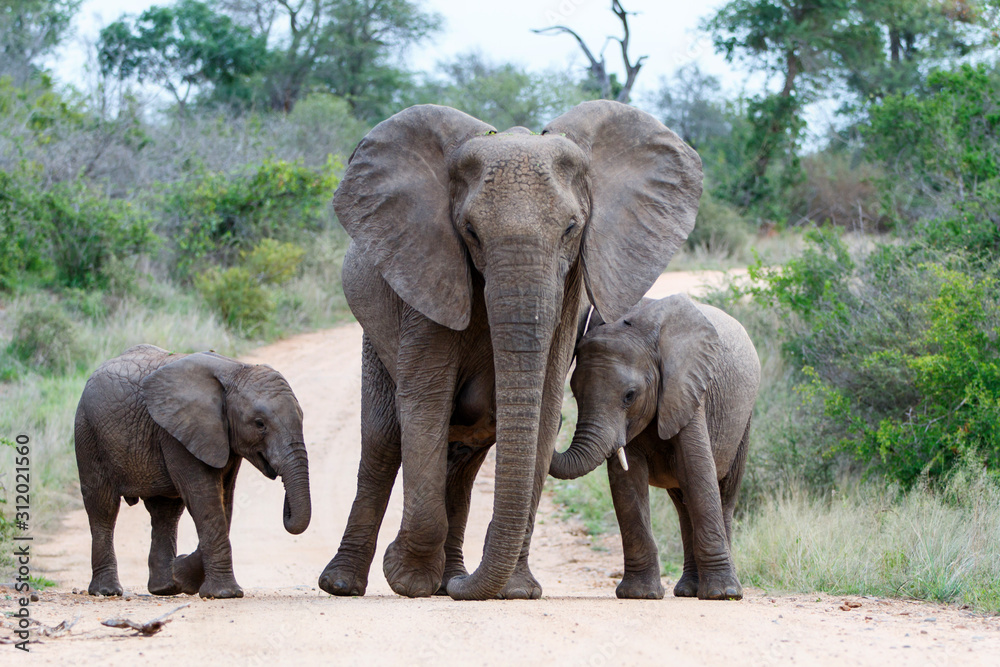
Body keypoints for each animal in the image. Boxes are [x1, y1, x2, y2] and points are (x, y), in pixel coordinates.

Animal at [74, 344, 310, 600]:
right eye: (259, 424)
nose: (286, 505)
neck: (235, 369)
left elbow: (224, 500)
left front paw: (182, 575)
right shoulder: (178, 432)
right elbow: (204, 498)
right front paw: (224, 593)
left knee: (166, 511)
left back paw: (165, 588)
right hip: (88, 432)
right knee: (103, 507)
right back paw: (107, 591)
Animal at [320, 102, 704, 604]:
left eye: (571, 229)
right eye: (470, 232)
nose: (463, 586)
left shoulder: (569, 294)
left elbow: (543, 407)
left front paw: (516, 591)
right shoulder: (428, 275)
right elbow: (425, 404)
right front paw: (408, 580)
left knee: (462, 462)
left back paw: (448, 578)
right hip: (377, 328)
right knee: (384, 440)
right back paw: (348, 585)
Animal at [548, 294, 756, 604]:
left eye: (629, 396)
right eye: (575, 392)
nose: (559, 417)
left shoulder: (688, 390)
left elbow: (697, 470)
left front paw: (723, 595)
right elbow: (627, 480)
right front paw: (639, 594)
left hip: (744, 421)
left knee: (725, 495)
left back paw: (715, 590)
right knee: (683, 504)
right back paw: (687, 590)